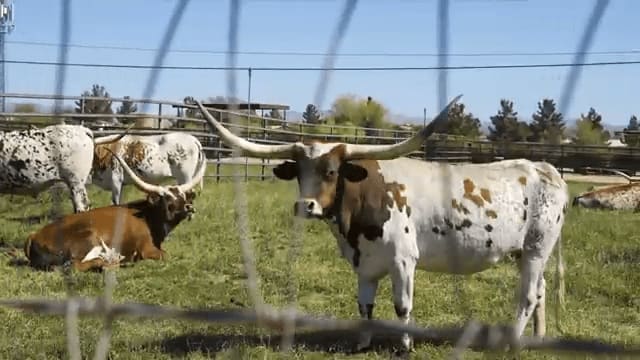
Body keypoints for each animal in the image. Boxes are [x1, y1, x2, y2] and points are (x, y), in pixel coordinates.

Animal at [22, 148, 206, 272]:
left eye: (183, 196)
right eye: (167, 198)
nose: (189, 208)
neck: (147, 217)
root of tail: (33, 235)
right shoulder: (148, 249)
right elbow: (166, 255)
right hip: (88, 238)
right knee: (75, 265)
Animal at [194, 97, 564, 352]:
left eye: (332, 171)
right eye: (298, 172)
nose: (305, 206)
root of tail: (546, 168)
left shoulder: (403, 261)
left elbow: (402, 306)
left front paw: (405, 347)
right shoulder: (364, 264)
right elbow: (365, 306)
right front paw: (362, 344)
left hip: (537, 248)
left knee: (528, 295)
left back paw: (511, 341)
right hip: (523, 252)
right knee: (541, 291)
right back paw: (538, 337)